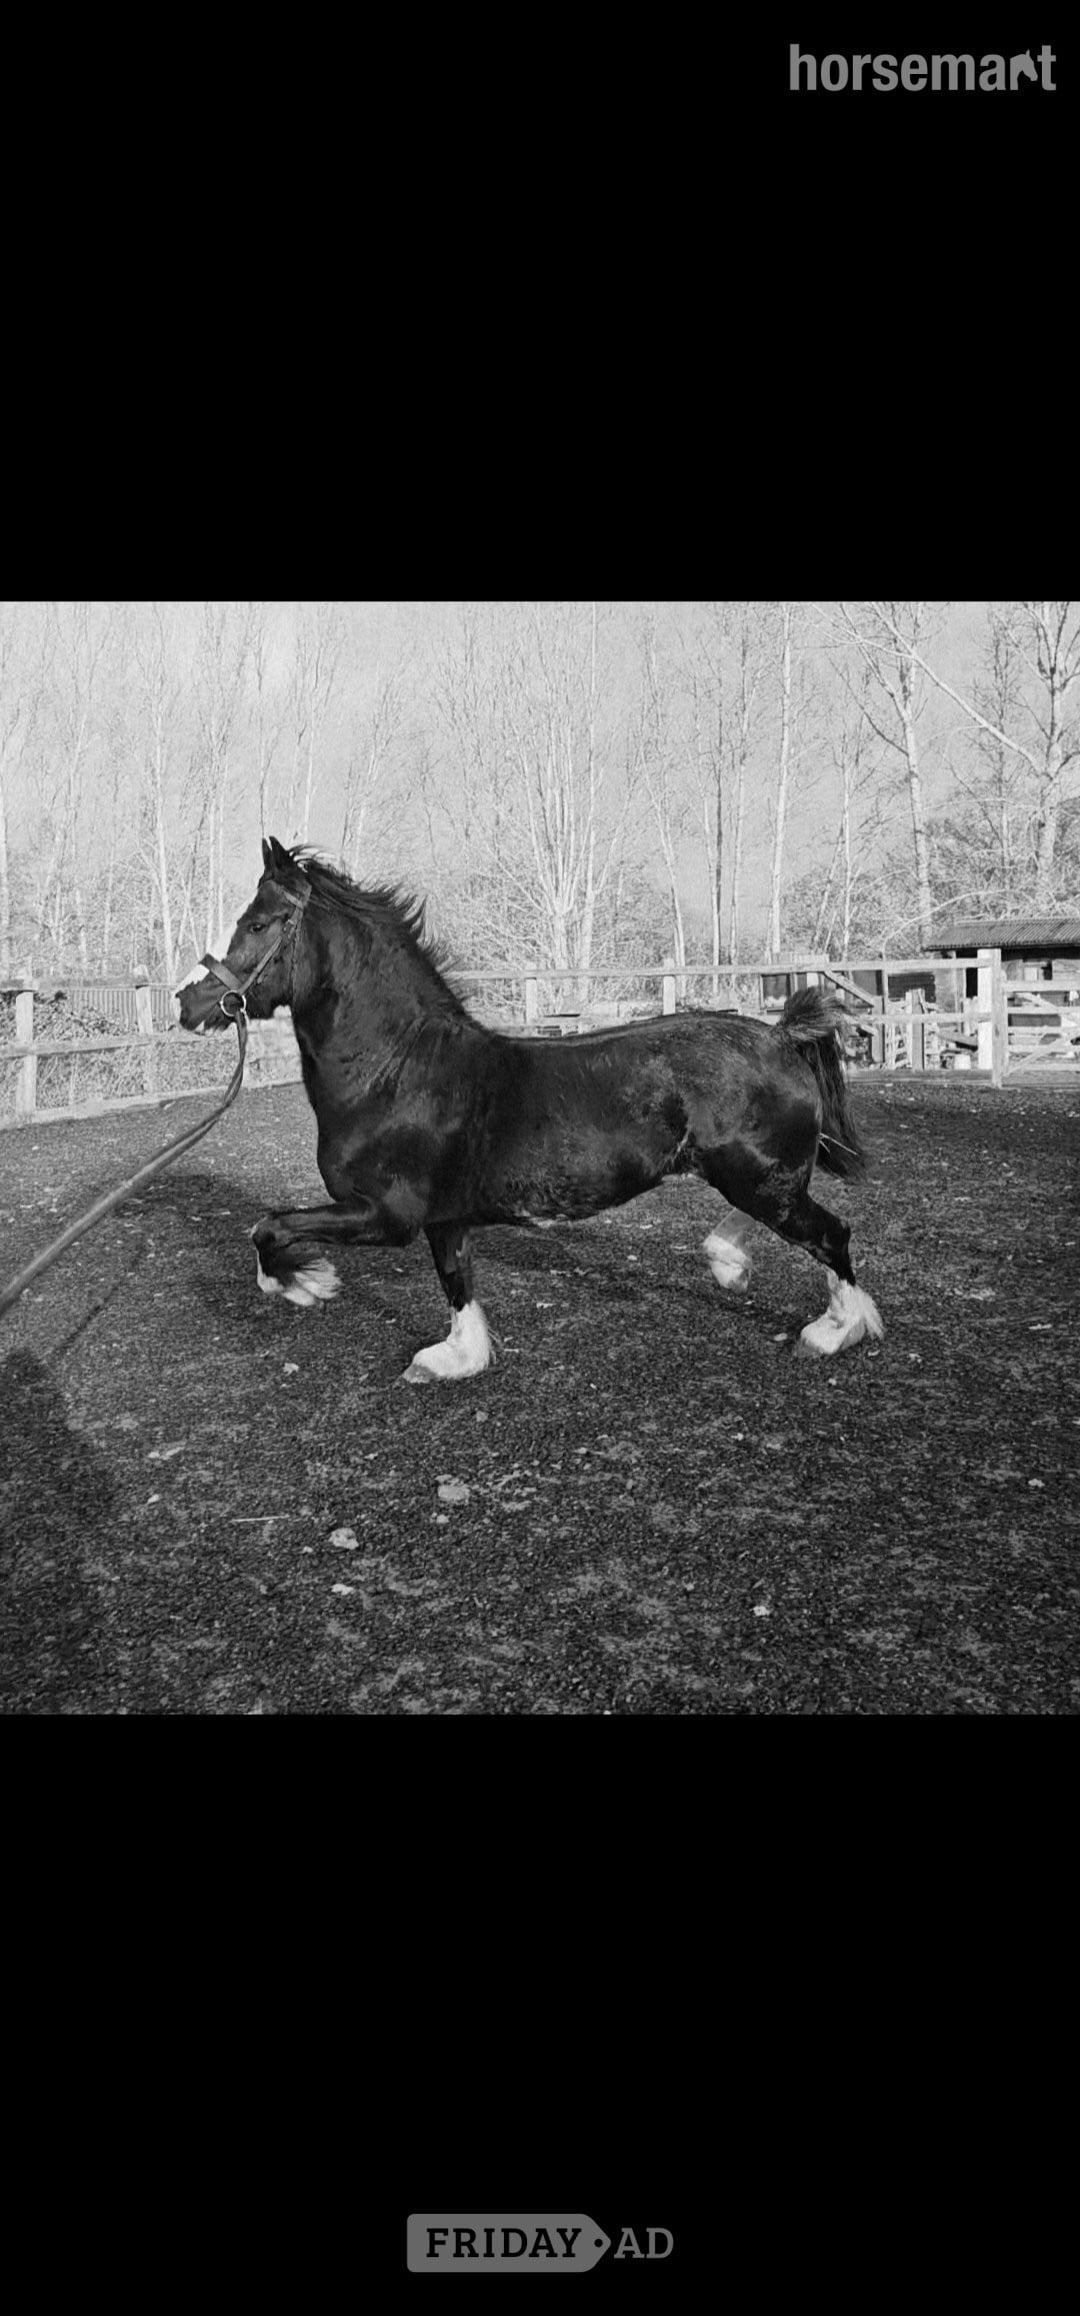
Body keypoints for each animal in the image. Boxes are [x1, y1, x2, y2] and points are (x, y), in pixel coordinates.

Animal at [176, 836, 883, 1380]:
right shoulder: (442, 1218)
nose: (189, 1002)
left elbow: (269, 1228)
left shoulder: (386, 1215)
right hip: (745, 1173)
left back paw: (832, 1330)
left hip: (757, 1176)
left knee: (830, 1235)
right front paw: (454, 1359)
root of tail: (781, 1035)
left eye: (256, 924)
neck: (394, 1071)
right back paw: (729, 1265)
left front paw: (305, 1282)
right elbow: (457, 1284)